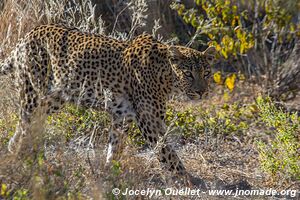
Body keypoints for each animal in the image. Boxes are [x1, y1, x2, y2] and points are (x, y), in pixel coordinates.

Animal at [0, 24, 216, 182]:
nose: (201, 92)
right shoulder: (149, 121)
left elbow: (116, 146)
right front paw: (188, 178)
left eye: (206, 73)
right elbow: (166, 151)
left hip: (54, 99)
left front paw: (110, 171)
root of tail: (27, 35)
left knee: (28, 124)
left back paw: (21, 151)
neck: (166, 77)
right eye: (188, 74)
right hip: (33, 93)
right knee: (26, 124)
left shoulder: (123, 116)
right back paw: (23, 161)